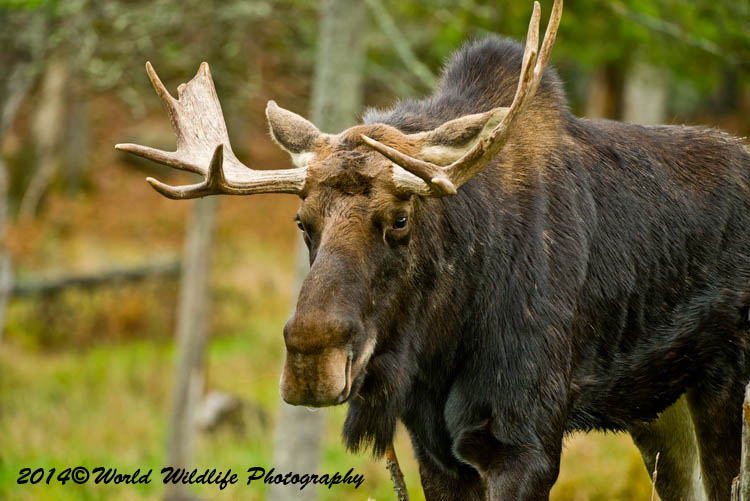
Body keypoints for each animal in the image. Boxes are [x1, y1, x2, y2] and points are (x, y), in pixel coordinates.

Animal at [116, 0, 750, 498]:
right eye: (302, 221)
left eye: (400, 218)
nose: (310, 361)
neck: (445, 340)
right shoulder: (436, 454)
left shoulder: (525, 445)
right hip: (663, 415)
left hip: (725, 395)